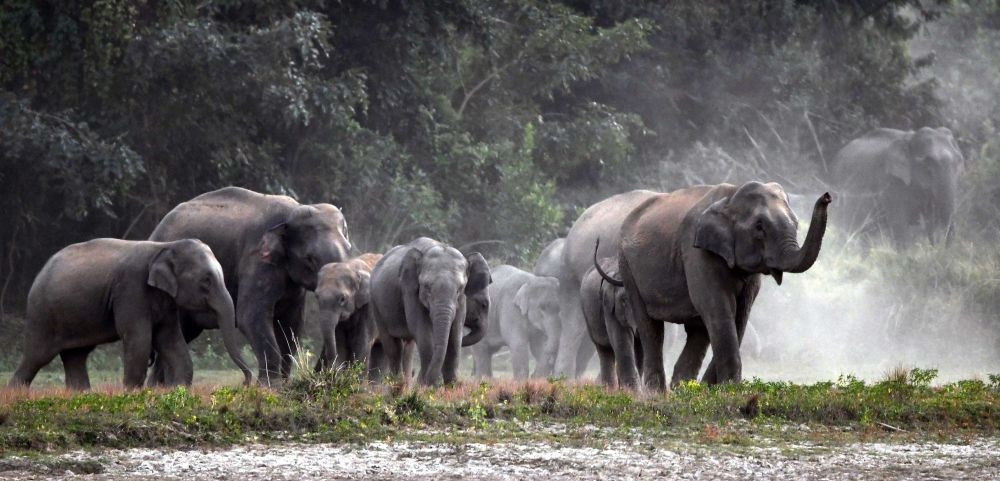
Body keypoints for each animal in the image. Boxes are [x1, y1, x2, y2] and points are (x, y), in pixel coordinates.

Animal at [7, 239, 249, 389]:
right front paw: (132, 393)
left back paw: (80, 394)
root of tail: (39, 273)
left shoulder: (166, 302)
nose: (245, 383)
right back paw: (15, 393)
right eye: (206, 281)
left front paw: (179, 390)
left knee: (76, 356)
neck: (164, 247)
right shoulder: (130, 289)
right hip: (42, 315)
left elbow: (171, 340)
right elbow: (139, 338)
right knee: (36, 357)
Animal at [148, 186, 351, 385]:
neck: (291, 212)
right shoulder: (256, 260)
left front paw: (283, 385)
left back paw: (160, 387)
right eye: (310, 258)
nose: (320, 375)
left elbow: (291, 324)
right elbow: (250, 316)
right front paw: (269, 387)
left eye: (348, 248)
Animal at [370, 237, 491, 386]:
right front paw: (431, 385)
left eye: (459, 289)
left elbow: (455, 332)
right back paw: (397, 383)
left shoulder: (461, 300)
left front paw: (451, 385)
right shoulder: (409, 290)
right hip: (376, 303)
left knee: (408, 347)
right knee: (393, 347)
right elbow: (422, 330)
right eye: (427, 287)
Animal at [582, 247, 642, 389]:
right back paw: (608, 389)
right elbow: (623, 342)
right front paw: (632, 392)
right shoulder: (609, 307)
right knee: (604, 351)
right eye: (624, 300)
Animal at [830, 127, 964, 247]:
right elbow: (899, 226)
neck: (910, 138)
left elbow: (929, 224)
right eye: (927, 164)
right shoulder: (890, 183)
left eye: (958, 161)